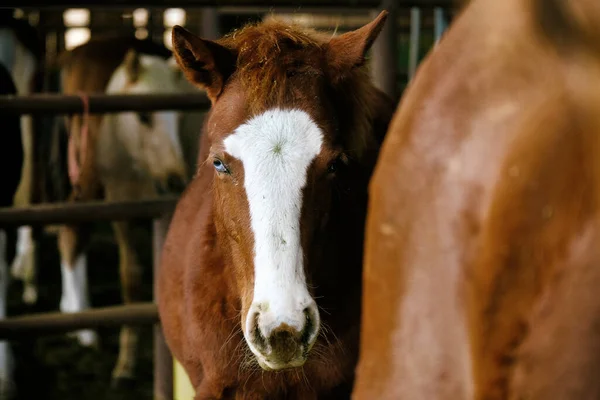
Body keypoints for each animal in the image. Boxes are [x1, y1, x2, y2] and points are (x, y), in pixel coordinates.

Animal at [56, 36, 189, 386]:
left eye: (180, 117)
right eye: (143, 116)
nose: (174, 180)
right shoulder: (121, 209)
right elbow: (131, 278)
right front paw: (125, 365)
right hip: (87, 176)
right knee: (72, 232)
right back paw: (81, 323)